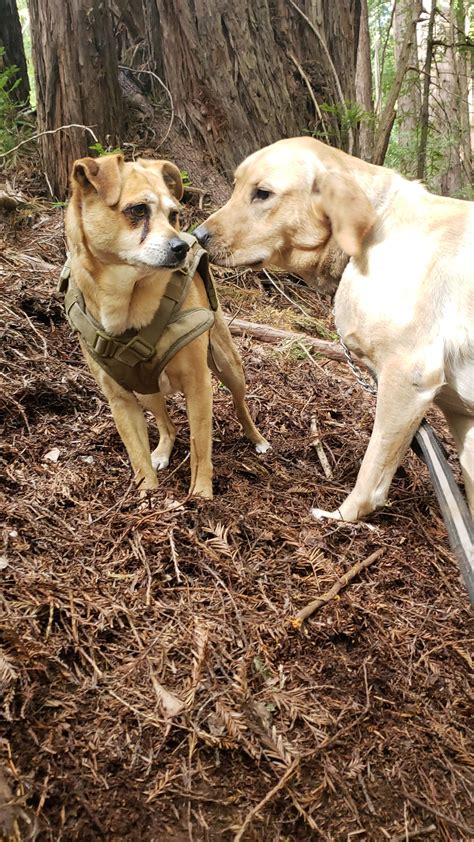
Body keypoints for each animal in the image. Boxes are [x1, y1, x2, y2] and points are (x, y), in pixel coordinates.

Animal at [64, 153, 268, 496]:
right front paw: (147, 495)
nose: (182, 247)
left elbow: (200, 445)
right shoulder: (120, 398)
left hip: (227, 364)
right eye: (138, 210)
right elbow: (137, 454)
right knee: (165, 423)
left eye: (174, 215)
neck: (127, 305)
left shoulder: (199, 385)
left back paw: (258, 439)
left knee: (240, 404)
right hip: (146, 390)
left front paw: (201, 495)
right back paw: (161, 450)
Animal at [194, 137, 472, 520]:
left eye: (263, 193)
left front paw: (343, 518)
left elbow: (372, 471)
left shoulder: (409, 378)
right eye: (236, 185)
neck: (370, 236)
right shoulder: (463, 421)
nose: (197, 235)